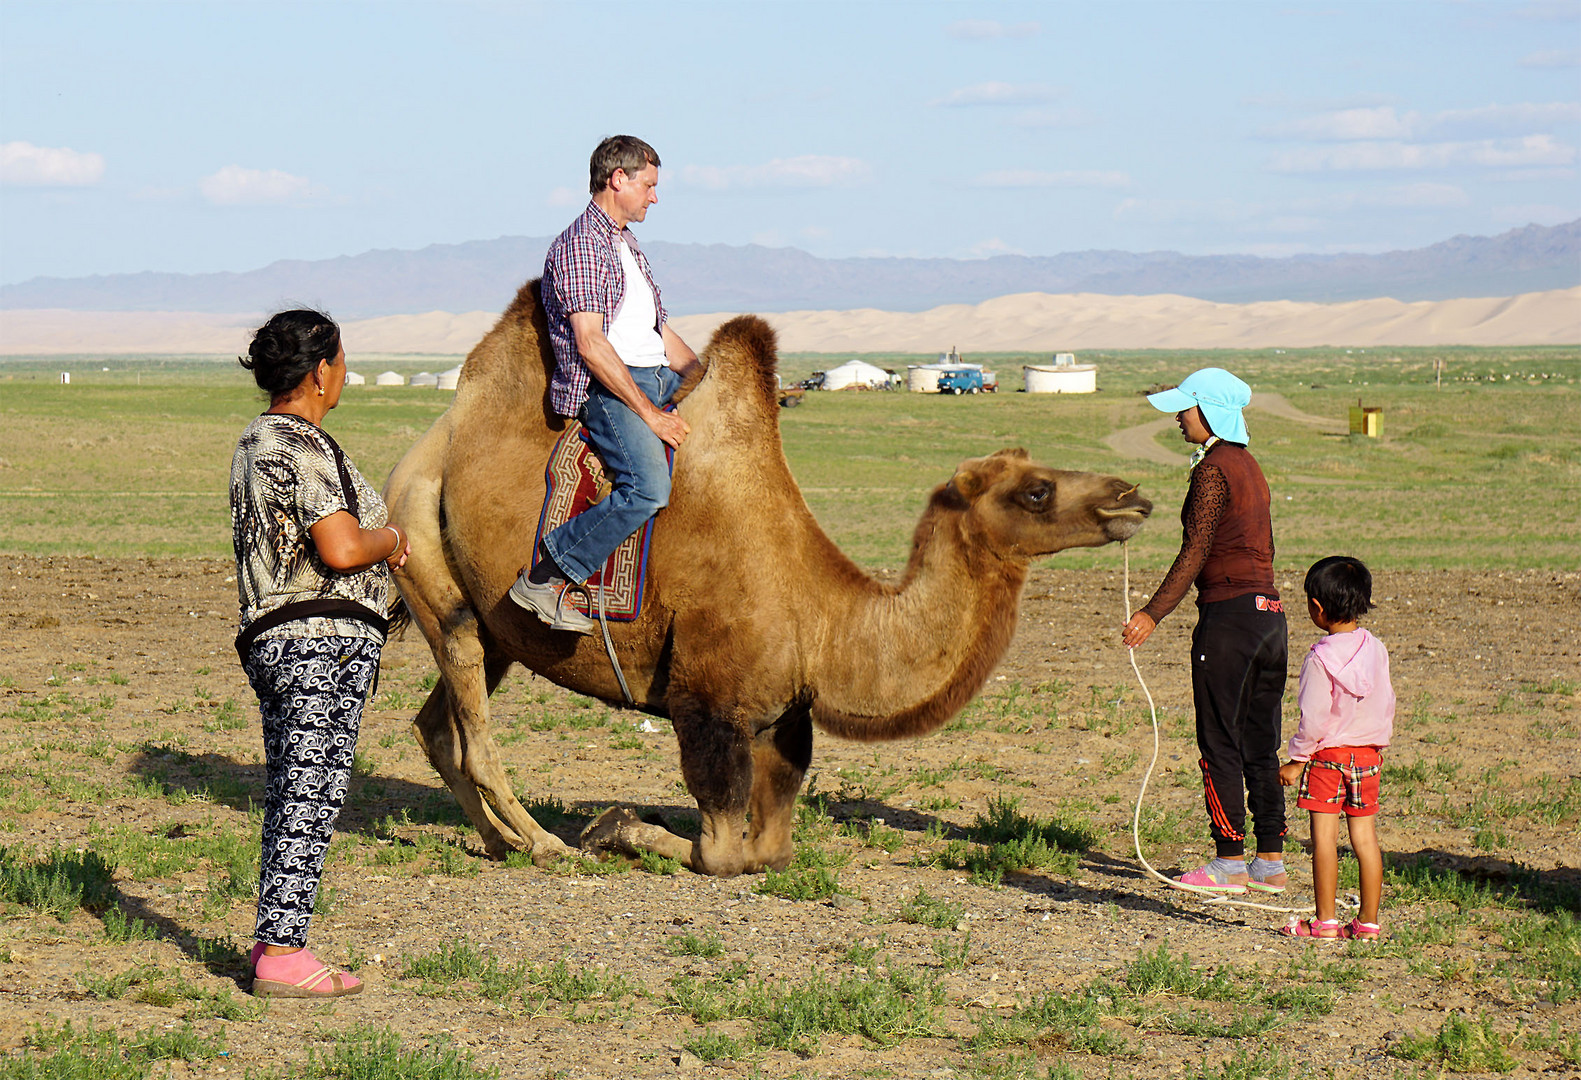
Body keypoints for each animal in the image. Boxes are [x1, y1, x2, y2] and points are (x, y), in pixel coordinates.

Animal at [379, 281, 1150, 879]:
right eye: (1036, 492)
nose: (1132, 496)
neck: (822, 617)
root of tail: (428, 444)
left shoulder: (785, 717)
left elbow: (771, 849)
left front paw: (618, 826)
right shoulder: (706, 702)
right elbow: (721, 852)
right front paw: (613, 826)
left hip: (495, 626)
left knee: (437, 729)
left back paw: (498, 841)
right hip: (424, 553)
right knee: (473, 730)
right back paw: (543, 844)